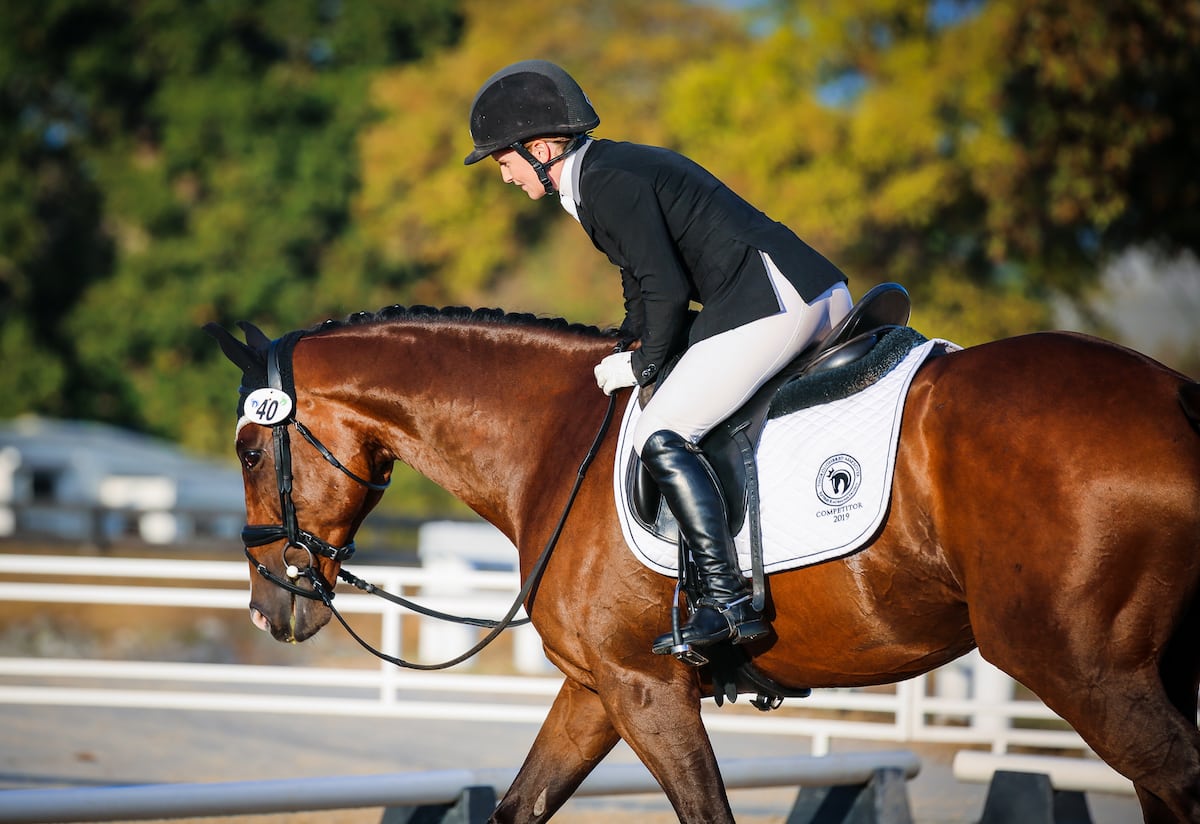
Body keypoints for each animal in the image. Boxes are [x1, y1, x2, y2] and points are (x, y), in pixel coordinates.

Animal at [206, 305, 1200, 823]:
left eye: (250, 452)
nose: (270, 607)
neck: (552, 442)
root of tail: (1175, 396)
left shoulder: (647, 688)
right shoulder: (599, 686)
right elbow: (519, 806)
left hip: (1083, 667)